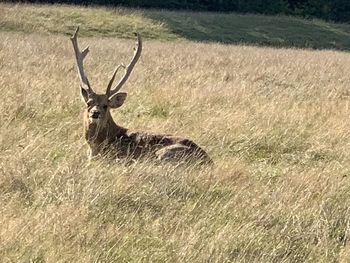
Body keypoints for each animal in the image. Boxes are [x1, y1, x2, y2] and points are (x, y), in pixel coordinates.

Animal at [69, 27, 212, 166]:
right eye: (89, 103)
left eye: (106, 105)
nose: (95, 113)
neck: (95, 148)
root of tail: (209, 160)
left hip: (164, 154)